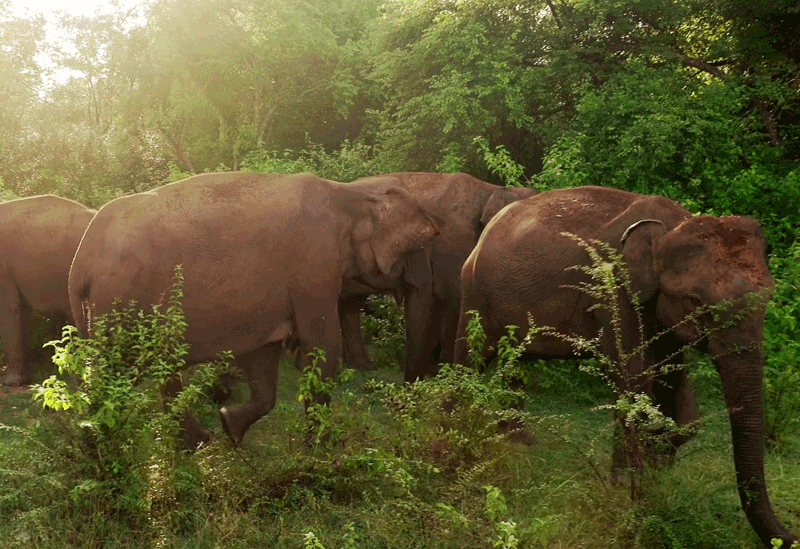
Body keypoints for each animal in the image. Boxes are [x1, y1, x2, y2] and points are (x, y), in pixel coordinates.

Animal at [68, 171, 438, 446]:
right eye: (417, 245)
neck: (348, 191)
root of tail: (82, 255)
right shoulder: (312, 266)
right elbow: (322, 347)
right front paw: (325, 449)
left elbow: (264, 357)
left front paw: (230, 427)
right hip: (121, 305)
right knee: (119, 372)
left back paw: (192, 443)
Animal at [334, 172, 536, 382]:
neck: (491, 190)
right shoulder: (452, 247)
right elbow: (453, 303)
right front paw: (443, 376)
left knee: (351, 304)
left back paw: (362, 367)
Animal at [454, 186, 796, 544]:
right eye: (695, 303)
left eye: (769, 297)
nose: (789, 536)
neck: (669, 229)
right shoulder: (614, 289)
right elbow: (633, 378)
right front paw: (627, 482)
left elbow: (675, 387)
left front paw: (660, 463)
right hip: (475, 289)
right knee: (470, 354)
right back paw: (452, 423)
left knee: (517, 362)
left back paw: (519, 442)